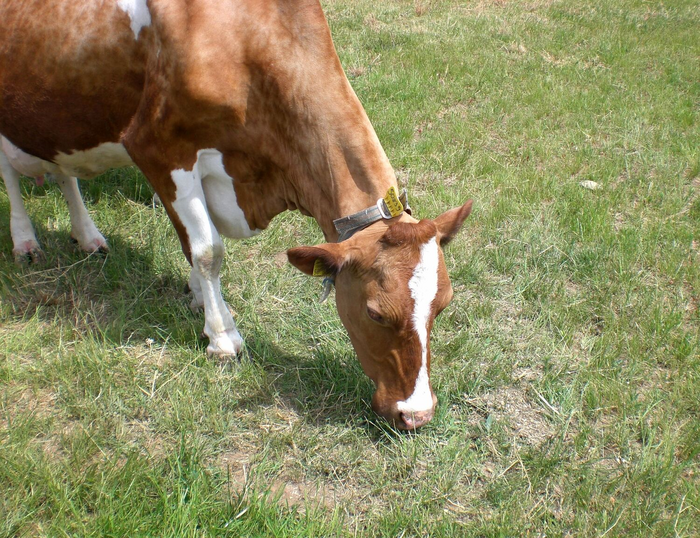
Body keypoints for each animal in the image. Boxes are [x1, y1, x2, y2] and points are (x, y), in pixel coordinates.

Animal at [0, 0, 474, 428]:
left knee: (64, 172)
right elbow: (207, 249)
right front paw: (223, 336)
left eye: (443, 305)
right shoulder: (159, 148)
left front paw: (198, 298)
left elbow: (189, 242)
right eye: (375, 313)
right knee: (9, 174)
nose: (417, 414)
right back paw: (25, 241)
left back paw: (87, 235)